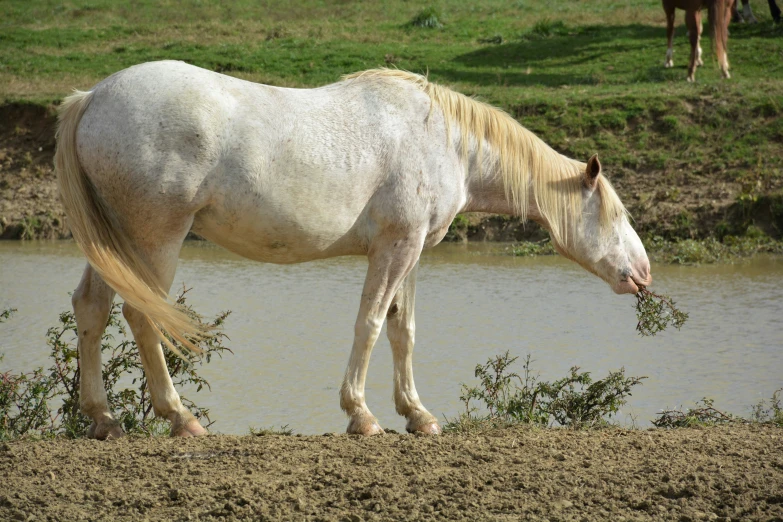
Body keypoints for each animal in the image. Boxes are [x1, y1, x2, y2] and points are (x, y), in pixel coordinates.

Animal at [55, 60, 652, 434]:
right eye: (617, 214)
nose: (644, 273)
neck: (446, 140)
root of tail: (93, 98)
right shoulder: (395, 248)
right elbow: (369, 325)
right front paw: (362, 416)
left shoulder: (412, 252)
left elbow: (402, 331)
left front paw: (418, 415)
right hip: (156, 240)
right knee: (141, 315)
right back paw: (180, 418)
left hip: (113, 244)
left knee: (92, 308)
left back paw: (103, 419)